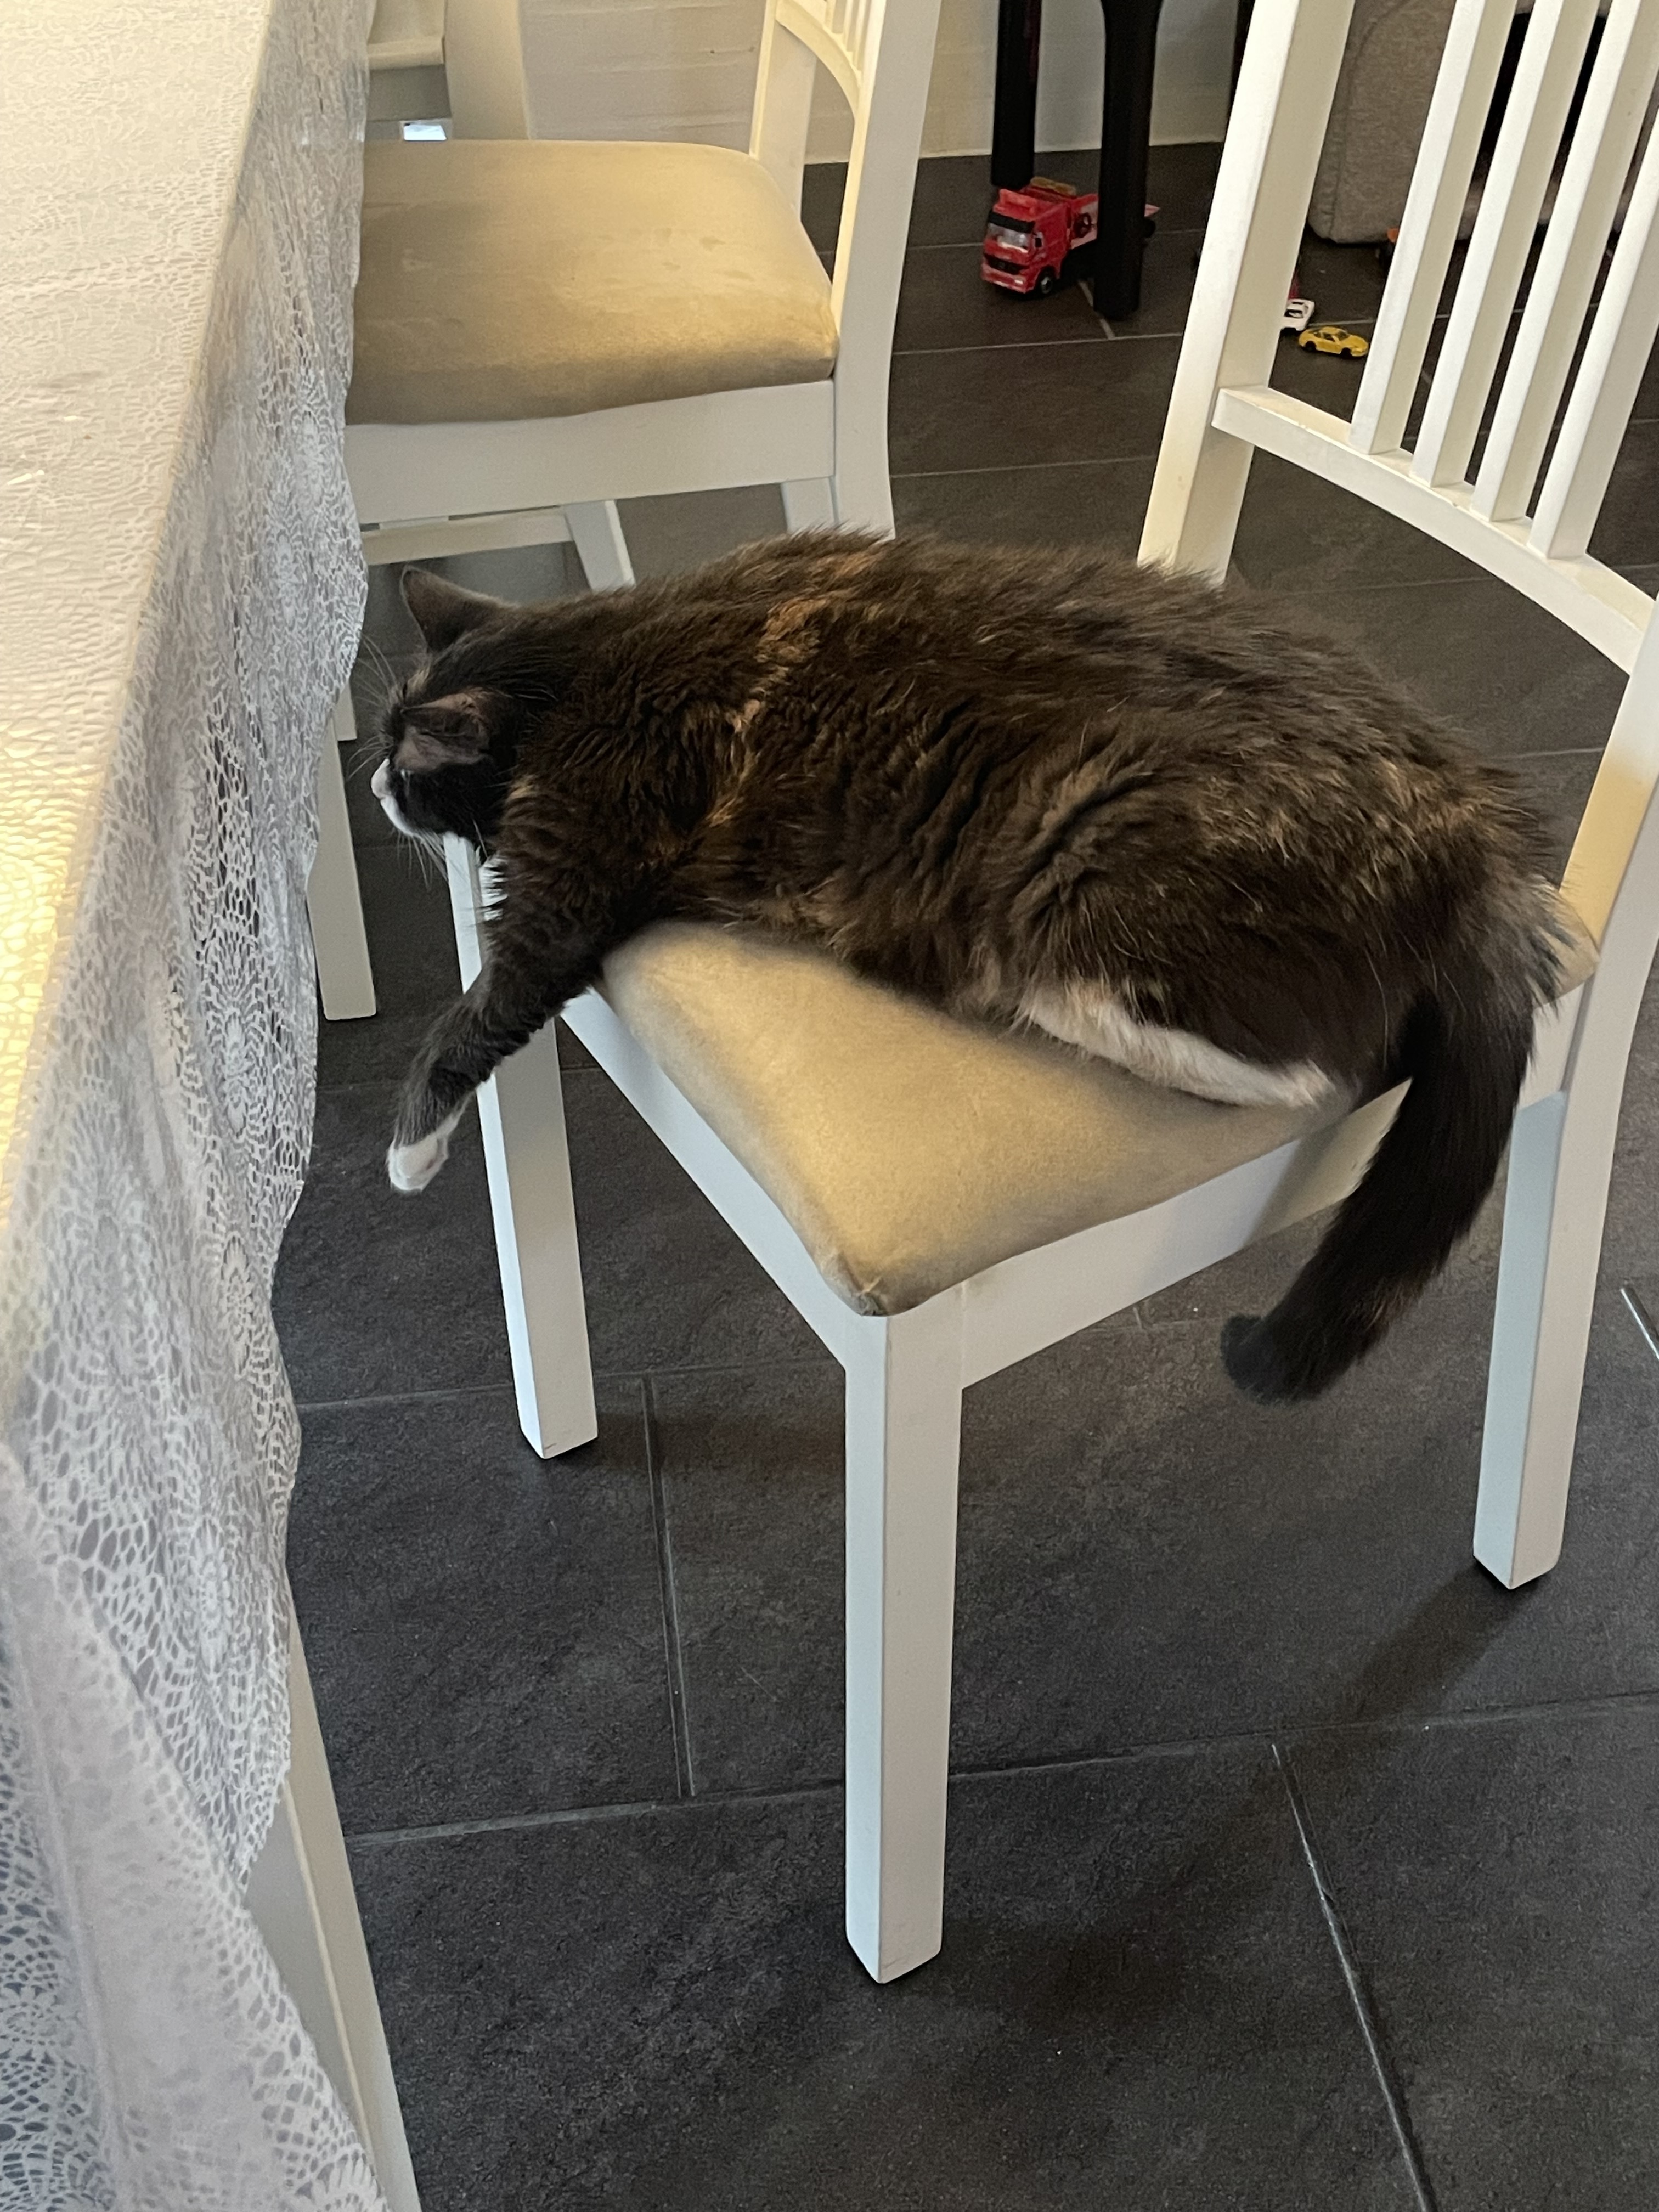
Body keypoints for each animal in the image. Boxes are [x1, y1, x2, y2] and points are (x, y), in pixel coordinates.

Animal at [370, 532, 1566, 1403]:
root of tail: (1477, 840)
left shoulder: (574, 869)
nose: (377, 787)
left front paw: (410, 1154)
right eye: (379, 743)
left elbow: (482, 1008)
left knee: (1303, 1065)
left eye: (405, 759)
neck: (587, 661)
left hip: (1081, 879)